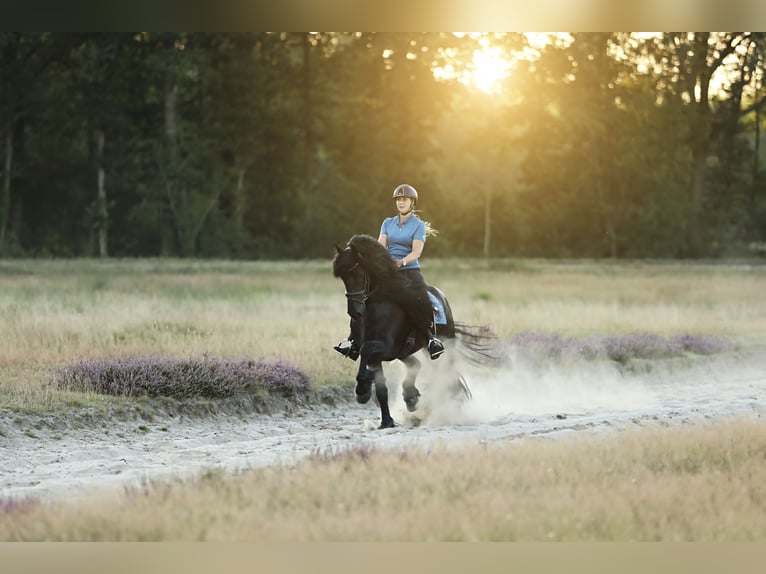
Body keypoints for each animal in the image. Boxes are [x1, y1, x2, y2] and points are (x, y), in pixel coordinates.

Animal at [334, 234, 492, 428]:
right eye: (343, 277)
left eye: (356, 273)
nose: (355, 312)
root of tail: (440, 296)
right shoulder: (376, 356)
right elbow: (381, 388)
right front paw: (386, 421)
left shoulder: (385, 346)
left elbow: (366, 350)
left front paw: (362, 389)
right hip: (404, 351)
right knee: (416, 365)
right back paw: (411, 398)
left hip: (442, 348)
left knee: (447, 376)